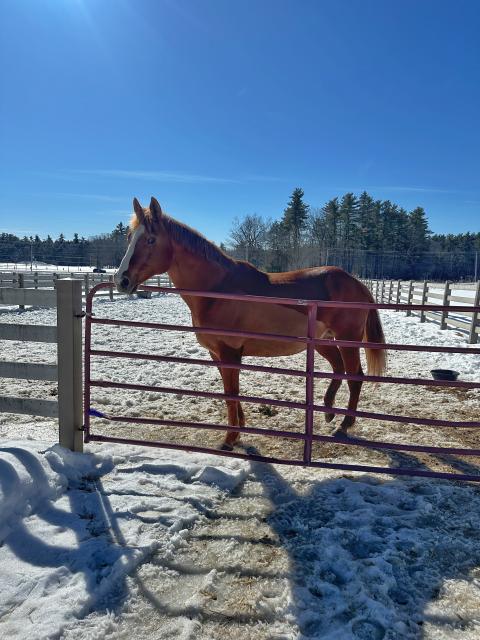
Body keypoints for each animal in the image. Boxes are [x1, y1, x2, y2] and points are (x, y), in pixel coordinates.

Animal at [114, 197, 386, 450]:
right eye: (128, 237)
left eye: (150, 240)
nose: (121, 280)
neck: (217, 291)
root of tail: (356, 282)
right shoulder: (217, 354)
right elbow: (229, 395)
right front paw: (239, 430)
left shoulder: (230, 353)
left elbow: (232, 395)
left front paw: (229, 439)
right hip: (323, 341)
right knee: (338, 369)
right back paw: (329, 412)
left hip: (347, 339)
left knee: (355, 376)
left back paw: (344, 425)